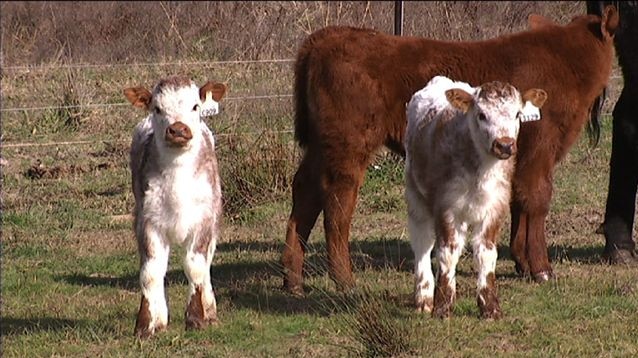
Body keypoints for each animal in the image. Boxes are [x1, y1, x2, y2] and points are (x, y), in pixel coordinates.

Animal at [125, 75, 228, 338]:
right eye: (157, 108)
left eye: (195, 106)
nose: (178, 129)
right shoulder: (147, 221)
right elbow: (150, 272)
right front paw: (147, 324)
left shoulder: (203, 220)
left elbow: (196, 267)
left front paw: (196, 317)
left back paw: (210, 310)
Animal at [408, 75, 548, 318]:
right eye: (481, 115)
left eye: (517, 114)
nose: (504, 144)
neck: (481, 173)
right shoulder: (446, 207)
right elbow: (447, 253)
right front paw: (442, 307)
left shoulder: (495, 207)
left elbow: (486, 254)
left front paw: (490, 307)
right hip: (415, 194)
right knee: (422, 243)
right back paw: (424, 298)